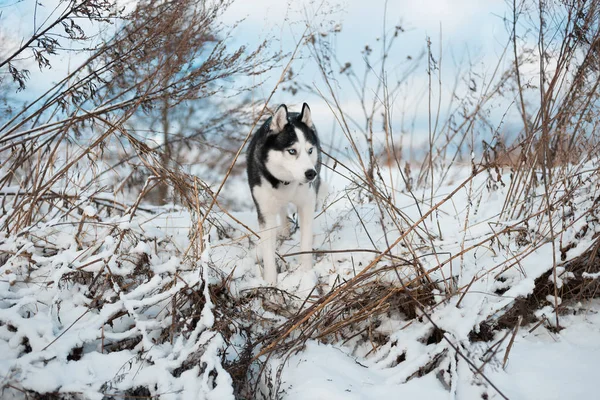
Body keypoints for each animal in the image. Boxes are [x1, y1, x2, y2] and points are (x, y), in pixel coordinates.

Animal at [246, 103, 322, 284]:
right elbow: (268, 253)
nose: (311, 173)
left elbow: (306, 243)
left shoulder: (307, 204)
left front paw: (306, 273)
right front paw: (270, 283)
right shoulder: (265, 213)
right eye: (292, 151)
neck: (286, 182)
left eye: (310, 150)